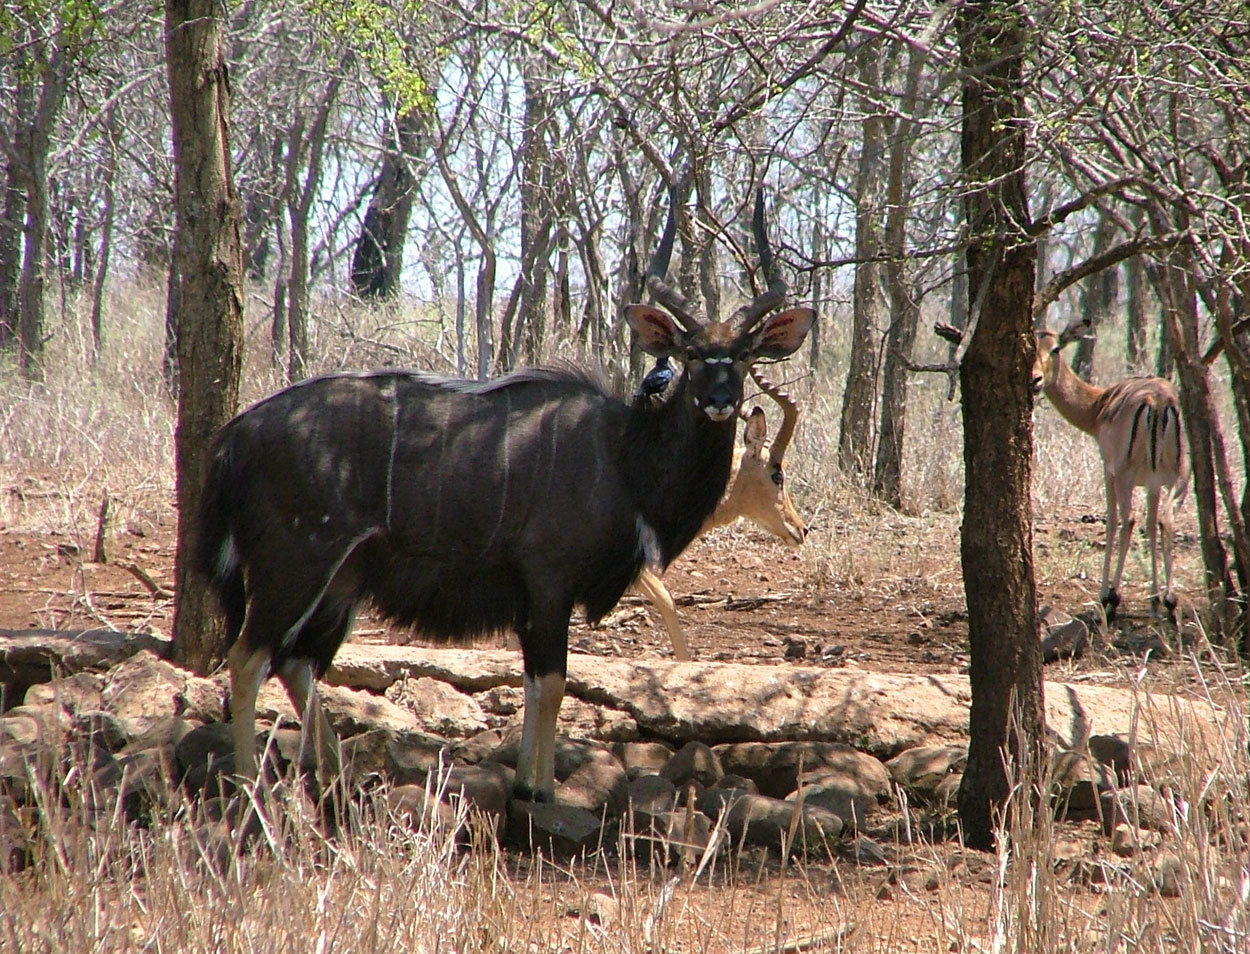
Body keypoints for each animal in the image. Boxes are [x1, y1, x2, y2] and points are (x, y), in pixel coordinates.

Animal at [1035, 318, 1190, 620]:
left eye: (1055, 348)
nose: (1034, 379)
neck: (1099, 405)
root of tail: (1158, 401)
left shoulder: (1108, 471)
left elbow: (1112, 521)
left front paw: (1106, 593)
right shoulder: (1153, 483)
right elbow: (1151, 525)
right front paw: (1154, 598)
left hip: (1125, 476)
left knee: (1127, 519)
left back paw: (1113, 598)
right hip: (1179, 478)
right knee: (1166, 519)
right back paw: (1170, 600)